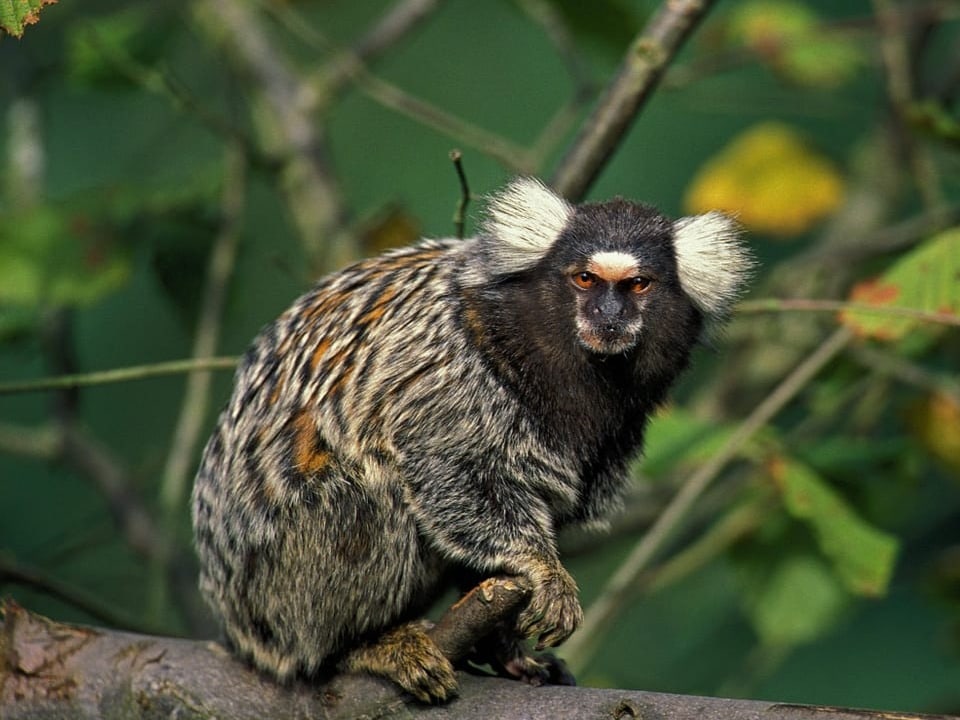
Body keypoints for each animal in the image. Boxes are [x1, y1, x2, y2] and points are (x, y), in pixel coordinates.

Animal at [191, 176, 752, 704]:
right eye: (585, 279)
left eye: (637, 285)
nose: (608, 316)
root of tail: (232, 618)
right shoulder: (452, 367)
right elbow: (447, 467)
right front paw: (542, 569)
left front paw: (507, 646)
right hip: (276, 579)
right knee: (364, 497)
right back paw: (359, 646)